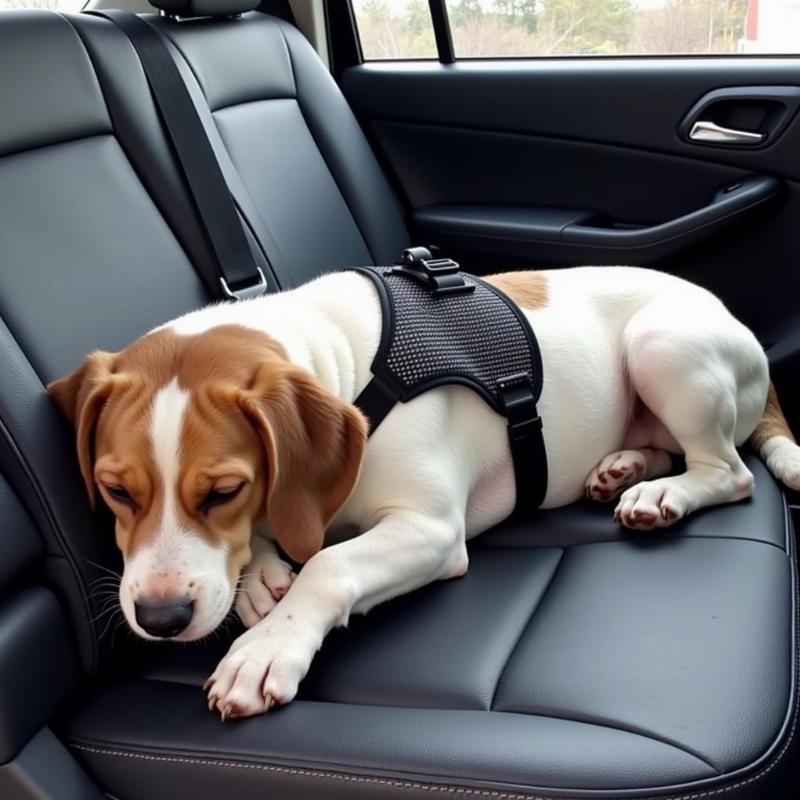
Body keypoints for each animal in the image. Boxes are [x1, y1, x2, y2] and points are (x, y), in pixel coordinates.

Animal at [48, 268, 800, 720]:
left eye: (224, 490)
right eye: (114, 491)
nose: (161, 618)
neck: (345, 367)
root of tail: (731, 318)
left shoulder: (431, 529)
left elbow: (330, 564)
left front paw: (267, 647)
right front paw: (260, 575)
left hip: (661, 344)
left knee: (727, 470)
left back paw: (661, 494)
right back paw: (623, 467)